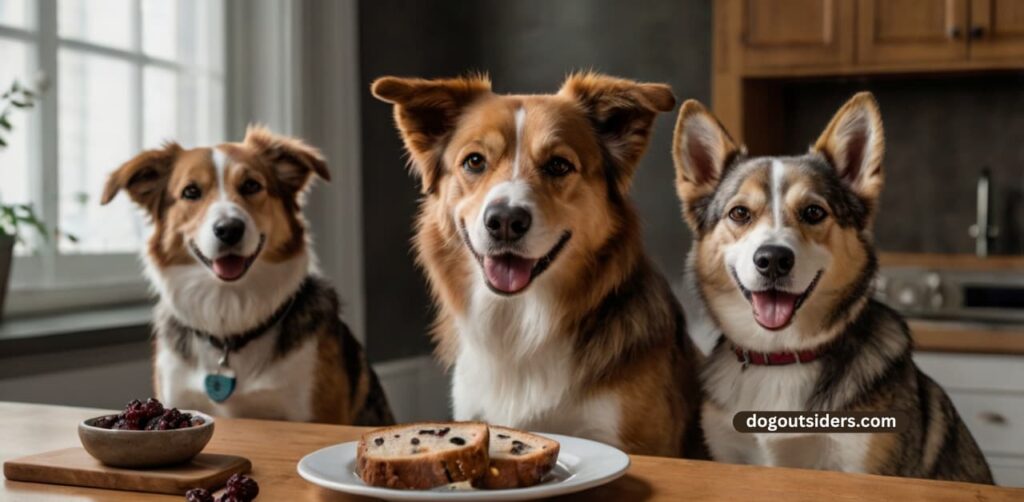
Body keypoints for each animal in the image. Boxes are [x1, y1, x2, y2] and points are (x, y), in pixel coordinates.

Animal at [671, 91, 991, 481]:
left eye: (813, 212)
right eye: (740, 213)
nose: (773, 259)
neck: (783, 359)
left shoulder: (860, 464)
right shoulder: (728, 454)